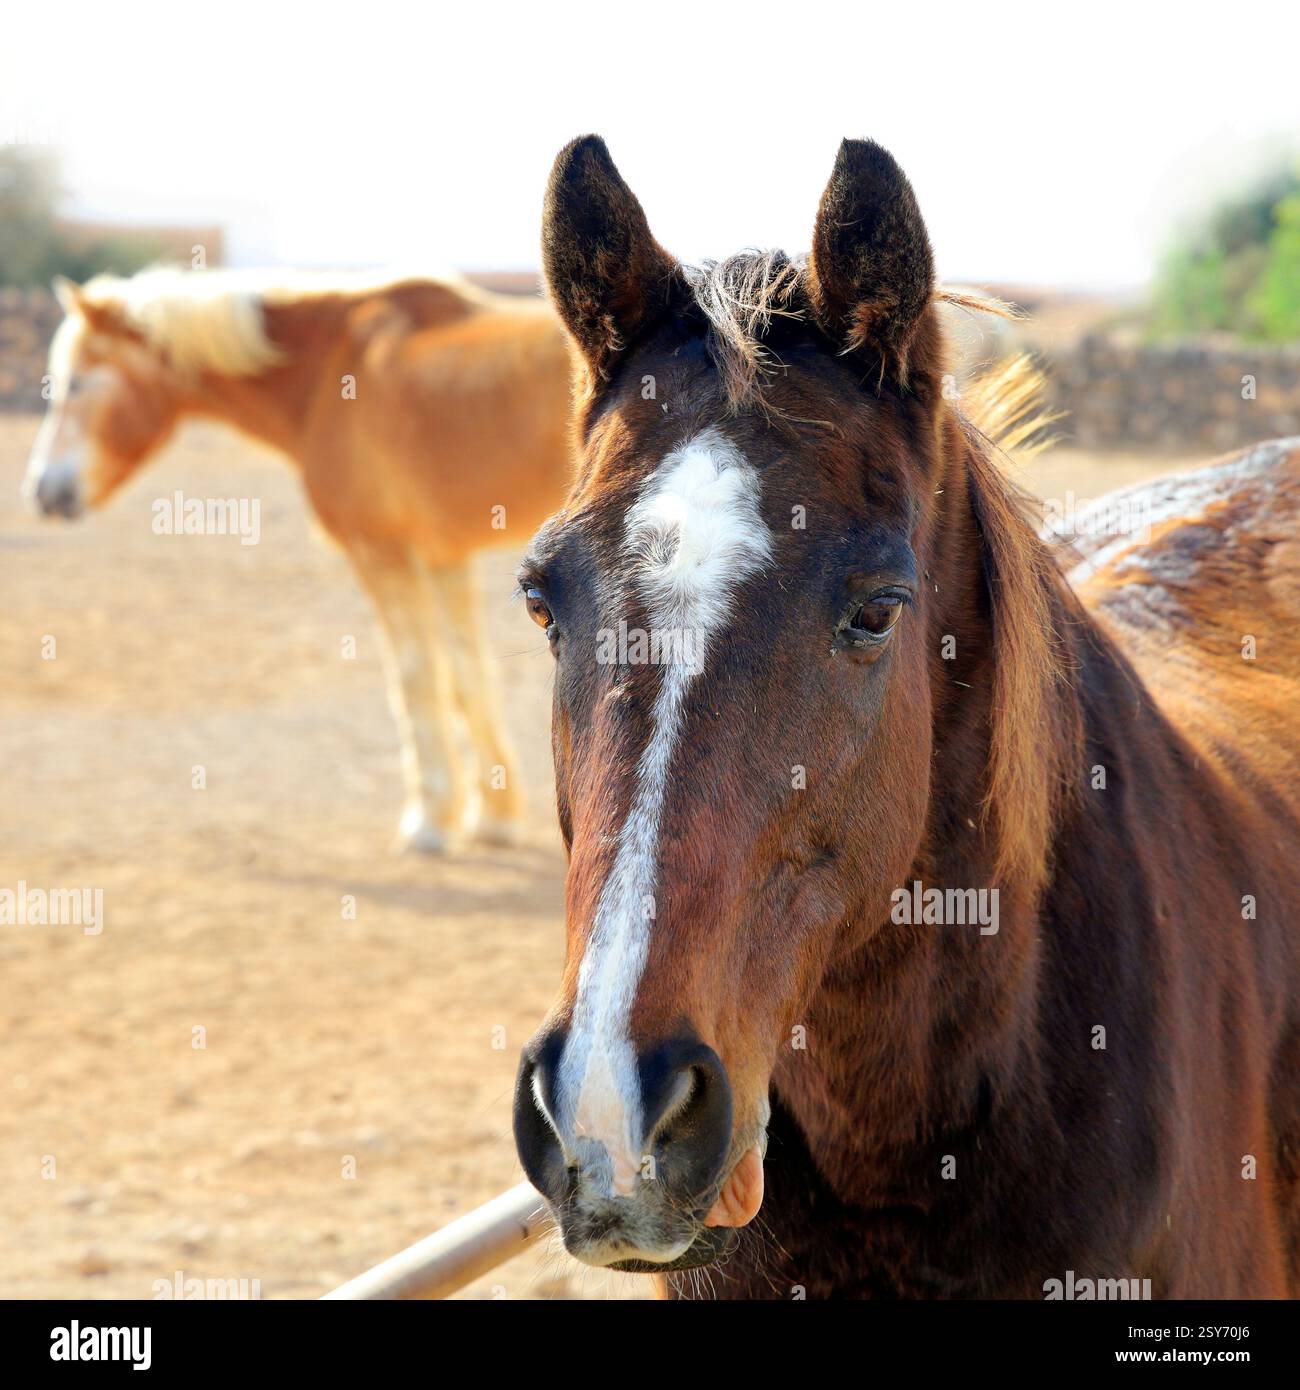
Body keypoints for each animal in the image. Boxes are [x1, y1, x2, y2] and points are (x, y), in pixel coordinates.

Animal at [22, 267, 575, 852]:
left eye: (75, 383)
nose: (40, 491)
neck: (328, 367)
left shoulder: (382, 552)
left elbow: (416, 677)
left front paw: (430, 821)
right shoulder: (444, 555)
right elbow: (468, 677)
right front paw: (493, 817)